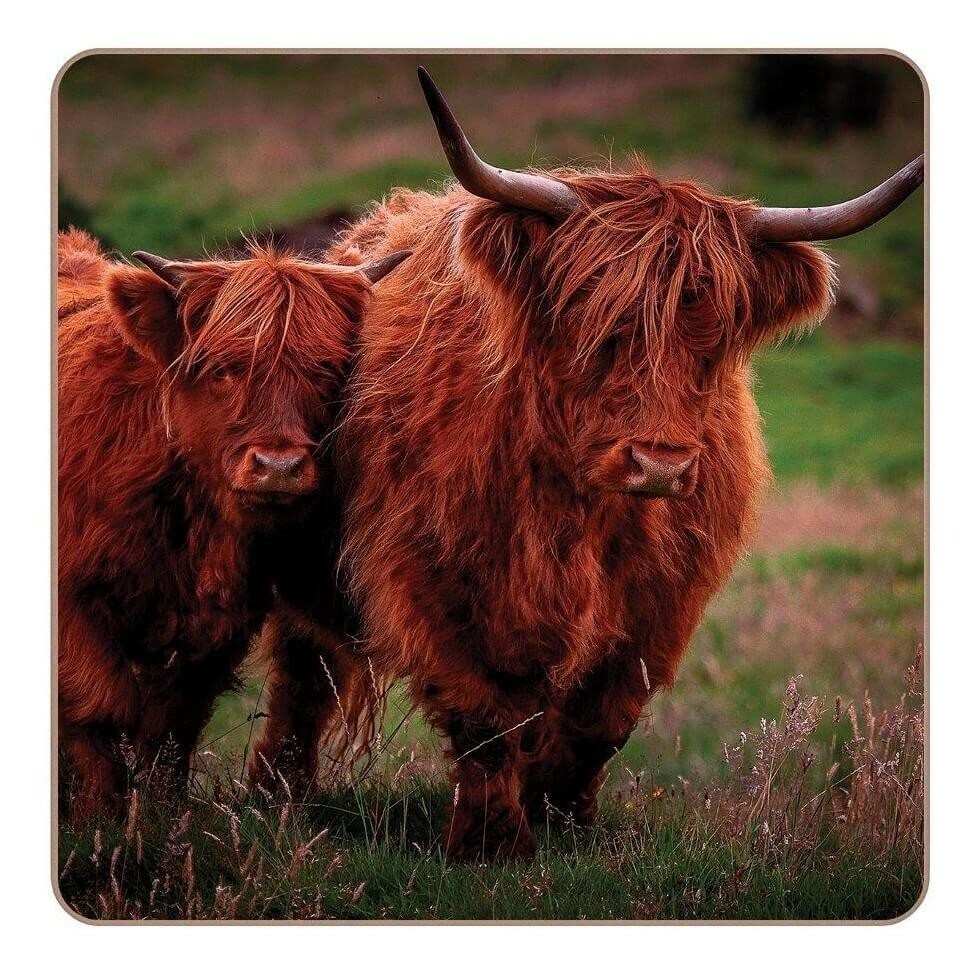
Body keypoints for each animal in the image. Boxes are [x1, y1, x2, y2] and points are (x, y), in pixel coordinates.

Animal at [57, 229, 408, 823]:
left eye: (326, 371)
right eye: (224, 369)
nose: (279, 466)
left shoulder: (218, 625)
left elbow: (172, 725)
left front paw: (160, 815)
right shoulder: (74, 609)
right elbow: (101, 708)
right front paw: (99, 819)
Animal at [316, 69, 924, 860]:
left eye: (716, 339)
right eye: (596, 325)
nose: (659, 464)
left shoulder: (661, 602)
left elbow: (602, 720)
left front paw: (564, 820)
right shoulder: (430, 578)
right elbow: (485, 717)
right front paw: (493, 843)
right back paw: (277, 793)